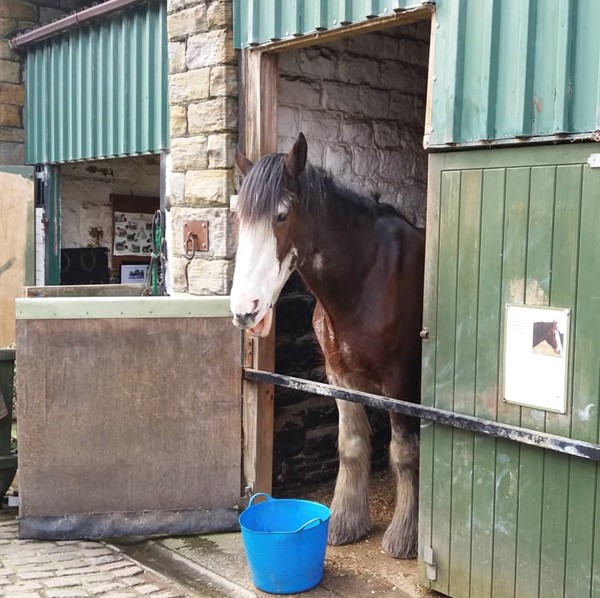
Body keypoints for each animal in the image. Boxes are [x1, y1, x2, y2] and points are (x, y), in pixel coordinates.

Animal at [231, 134, 426, 560]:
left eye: (282, 215)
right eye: (238, 217)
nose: (245, 309)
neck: (366, 276)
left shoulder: (401, 382)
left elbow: (405, 453)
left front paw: (406, 537)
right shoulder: (340, 376)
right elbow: (350, 445)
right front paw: (345, 523)